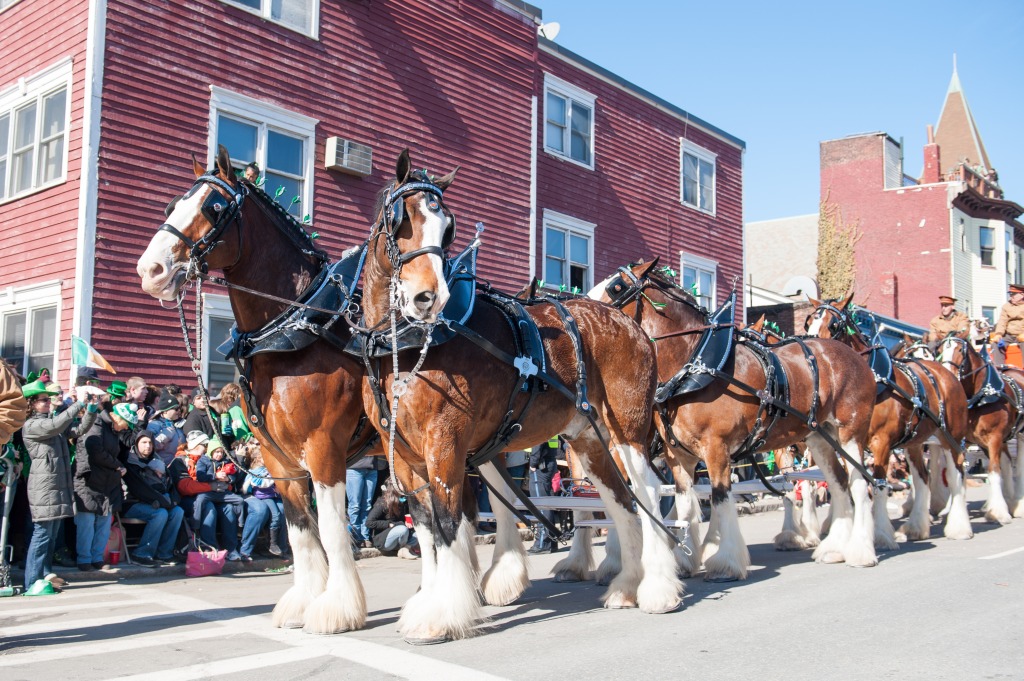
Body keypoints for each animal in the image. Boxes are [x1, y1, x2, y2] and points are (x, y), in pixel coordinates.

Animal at [136, 146, 376, 634]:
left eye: (213, 207)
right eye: (171, 207)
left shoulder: (324, 449)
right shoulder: (277, 457)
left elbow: (332, 529)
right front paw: (303, 602)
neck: (294, 328)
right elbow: (300, 530)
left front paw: (337, 609)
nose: (150, 271)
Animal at [356, 150, 684, 643]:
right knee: (622, 503)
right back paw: (627, 586)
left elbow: (450, 525)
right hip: (588, 440)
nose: (429, 298)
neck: (405, 347)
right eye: (400, 220)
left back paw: (659, 589)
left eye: (448, 228)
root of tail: (629, 325)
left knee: (645, 493)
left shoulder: (445, 446)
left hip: (627, 431)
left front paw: (444, 614)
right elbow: (427, 528)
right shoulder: (406, 457)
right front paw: (427, 604)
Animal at [593, 262, 880, 569]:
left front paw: (725, 561)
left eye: (616, 287)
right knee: (838, 483)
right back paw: (835, 547)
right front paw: (686, 559)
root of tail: (855, 357)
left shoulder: (715, 447)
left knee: (860, 484)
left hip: (851, 432)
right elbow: (686, 504)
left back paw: (861, 551)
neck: (695, 366)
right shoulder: (678, 454)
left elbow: (720, 498)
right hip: (818, 436)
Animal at [802, 296, 970, 540]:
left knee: (957, 475)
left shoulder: (881, 442)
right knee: (922, 478)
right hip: (914, 443)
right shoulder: (847, 442)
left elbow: (878, 485)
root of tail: (947, 374)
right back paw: (916, 526)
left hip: (952, 438)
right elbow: (850, 482)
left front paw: (880, 533)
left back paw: (959, 527)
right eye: (809, 323)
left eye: (833, 325)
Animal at [937, 331, 1024, 518]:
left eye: (960, 350)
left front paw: (998, 511)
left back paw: (1016, 503)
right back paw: (1007, 500)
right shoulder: (965, 441)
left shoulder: (994, 437)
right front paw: (951, 507)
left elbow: (993, 470)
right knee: (1007, 463)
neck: (981, 396)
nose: (947, 374)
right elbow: (958, 472)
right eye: (939, 351)